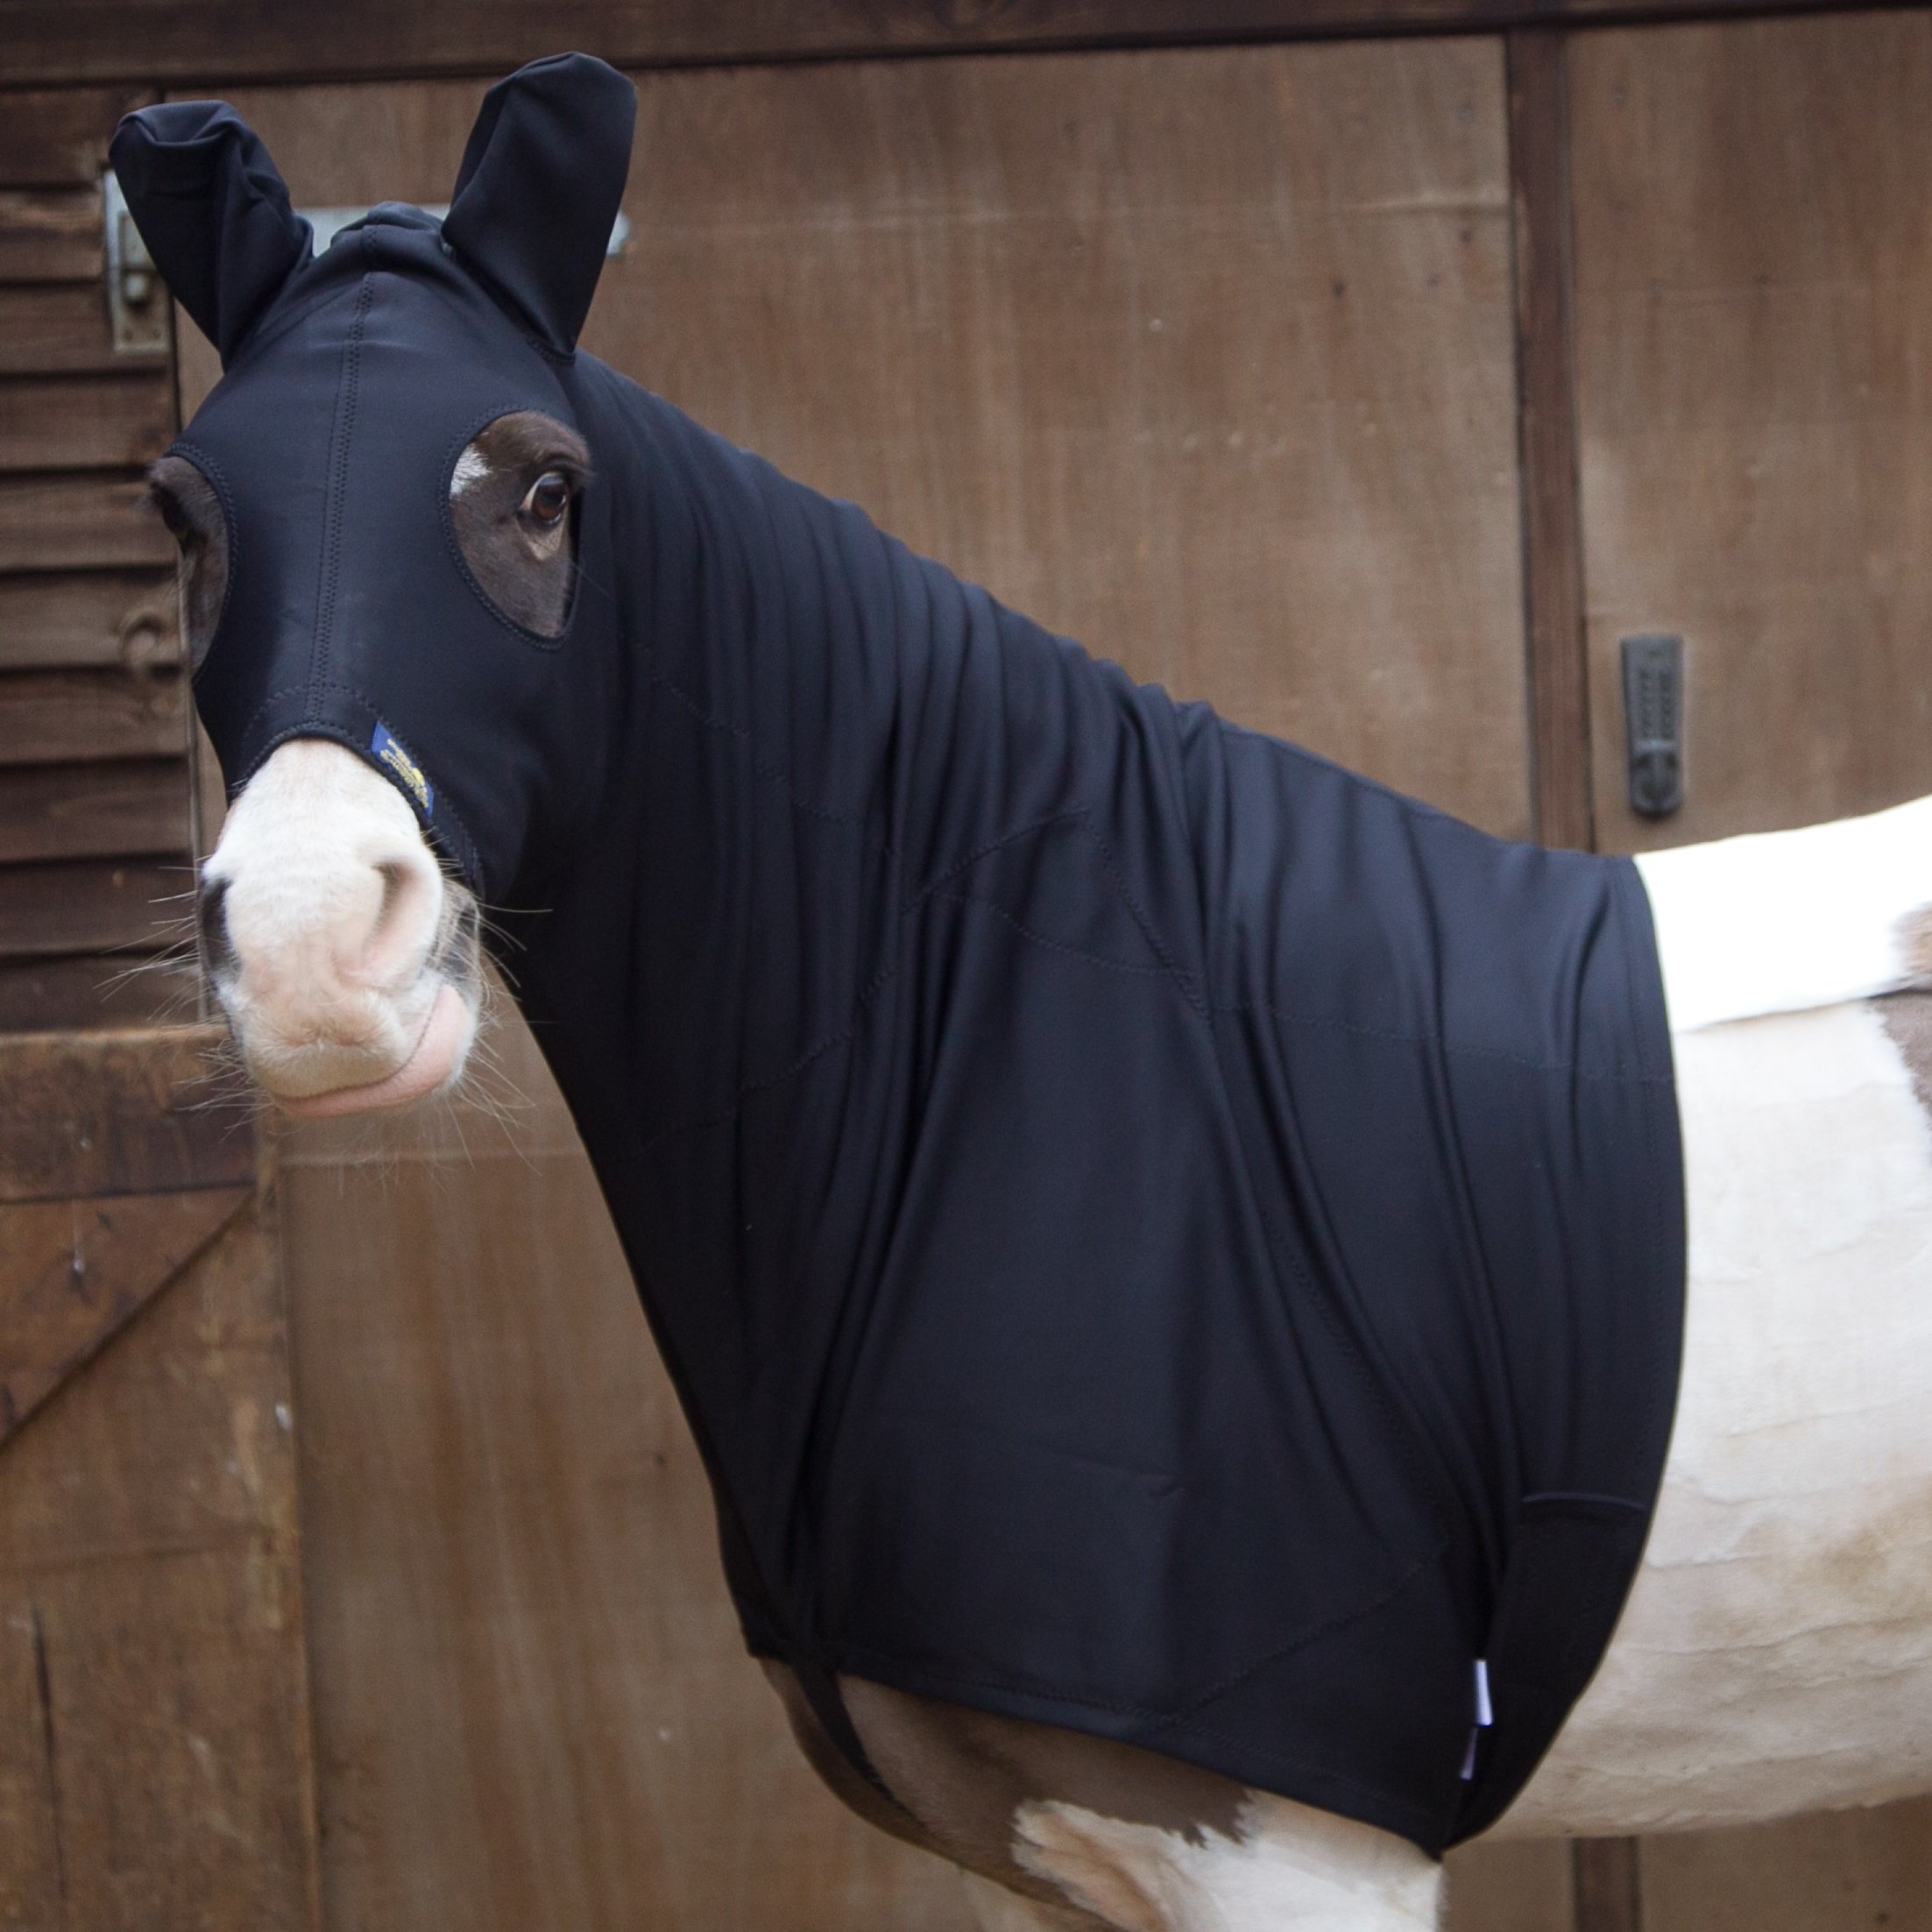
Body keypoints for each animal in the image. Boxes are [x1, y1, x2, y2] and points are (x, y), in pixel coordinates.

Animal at [115, 55, 1932, 1932]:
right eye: (181, 511)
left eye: (544, 494)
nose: (317, 950)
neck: (1078, 1076)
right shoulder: (1016, 1857)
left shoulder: (1287, 1856)